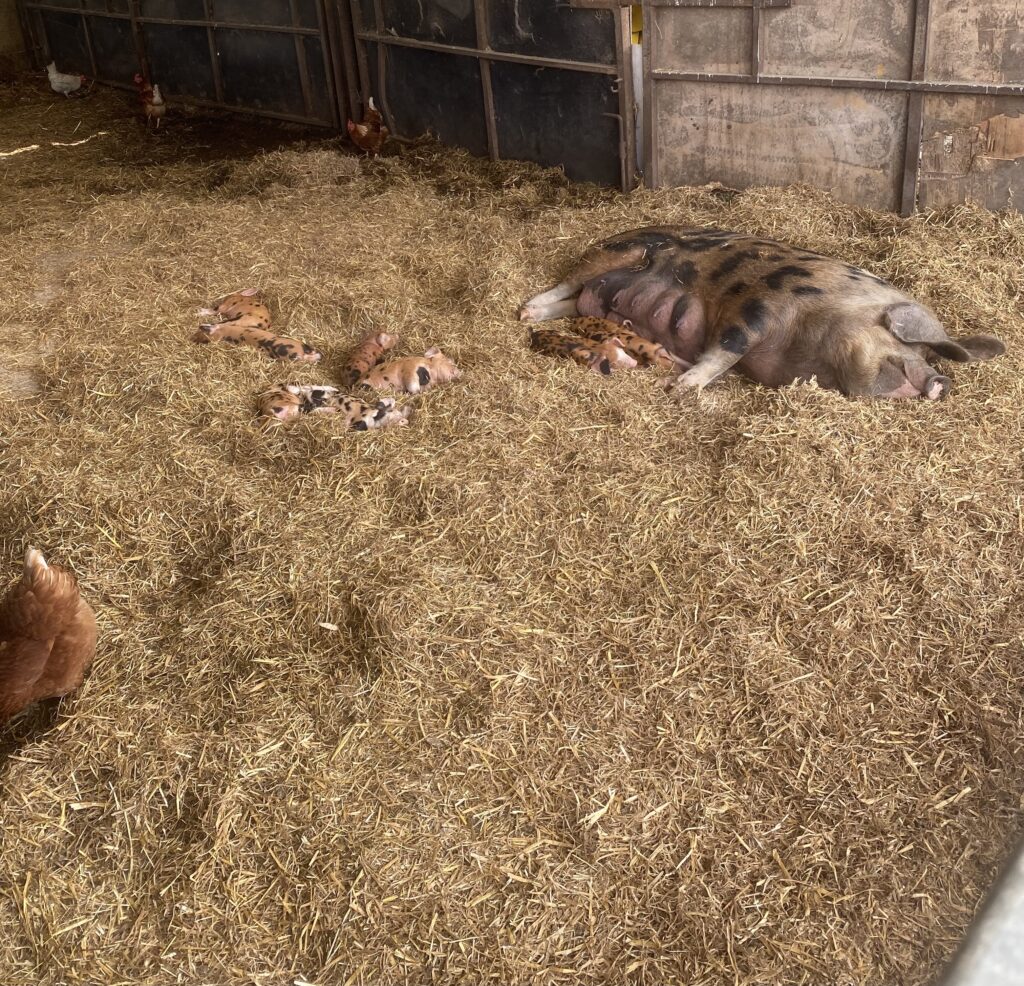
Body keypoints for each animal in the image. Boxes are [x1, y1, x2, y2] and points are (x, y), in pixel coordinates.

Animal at [520, 227, 1005, 400]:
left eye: (931, 355)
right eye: (915, 347)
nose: (942, 381)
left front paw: (675, 376)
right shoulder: (756, 307)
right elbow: (727, 348)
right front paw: (679, 388)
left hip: (600, 288)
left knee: (576, 300)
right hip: (621, 249)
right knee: (568, 282)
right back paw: (526, 312)